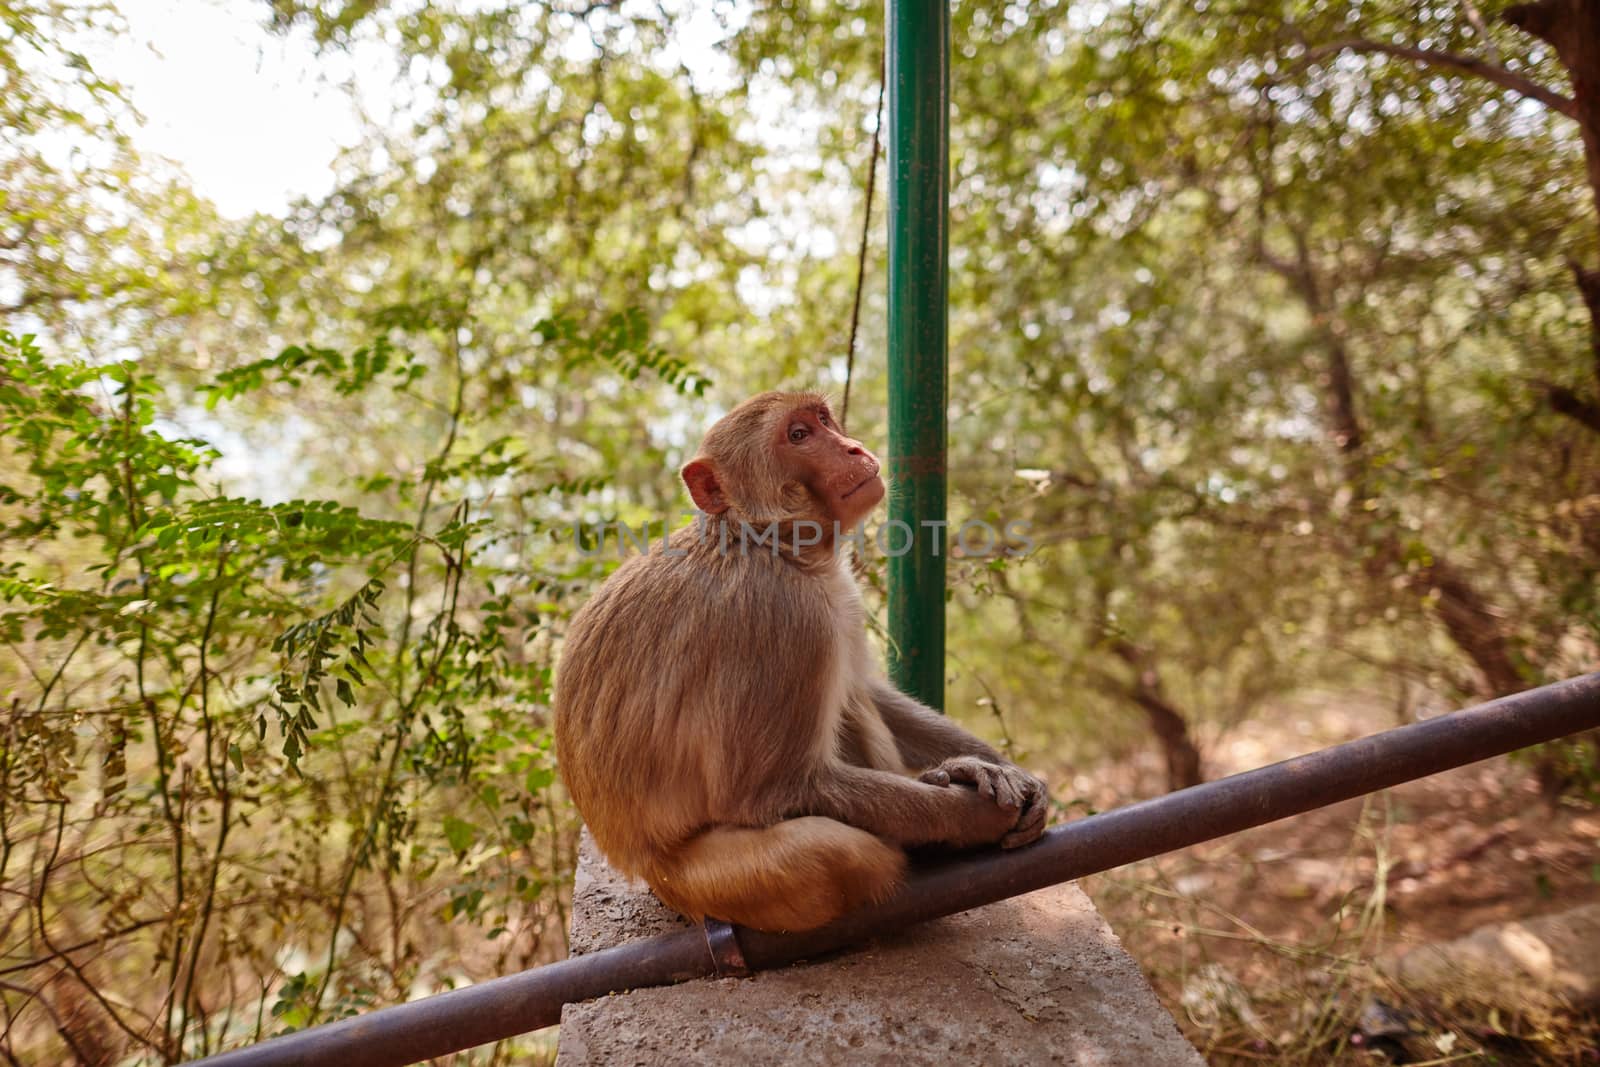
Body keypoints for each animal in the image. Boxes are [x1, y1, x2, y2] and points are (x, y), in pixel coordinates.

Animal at [553, 395, 1049, 934]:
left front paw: (995, 767)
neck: (766, 542)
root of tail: (640, 866)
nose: (852, 446)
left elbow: (867, 688)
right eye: (797, 436)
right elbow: (768, 791)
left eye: (823, 420)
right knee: (836, 853)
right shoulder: (781, 615)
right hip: (707, 883)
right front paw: (975, 816)